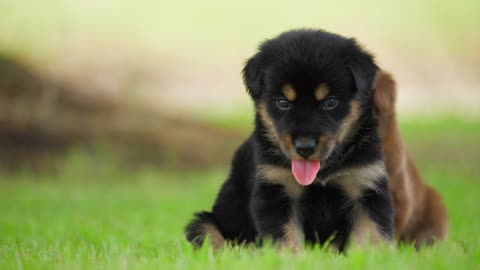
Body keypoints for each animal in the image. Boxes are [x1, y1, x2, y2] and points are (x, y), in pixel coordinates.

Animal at [186, 29, 392, 251]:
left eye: (330, 101)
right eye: (283, 103)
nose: (304, 147)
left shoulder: (365, 186)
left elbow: (373, 235)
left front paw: (375, 255)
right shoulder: (276, 190)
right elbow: (286, 237)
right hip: (204, 223)